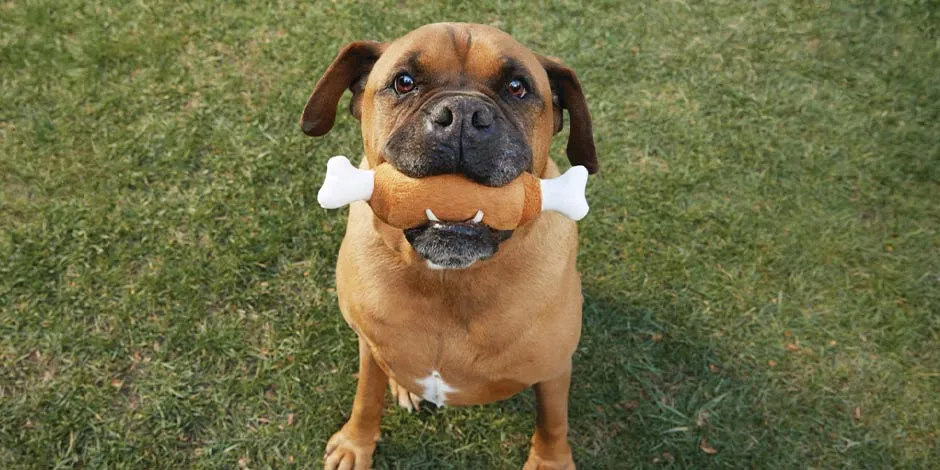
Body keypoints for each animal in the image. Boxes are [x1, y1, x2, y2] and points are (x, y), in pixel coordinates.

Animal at [302, 23, 596, 470]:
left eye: (517, 87)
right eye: (404, 82)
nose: (462, 115)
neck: (448, 281)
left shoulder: (554, 370)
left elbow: (552, 421)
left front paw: (551, 462)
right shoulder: (369, 346)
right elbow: (367, 395)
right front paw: (356, 443)